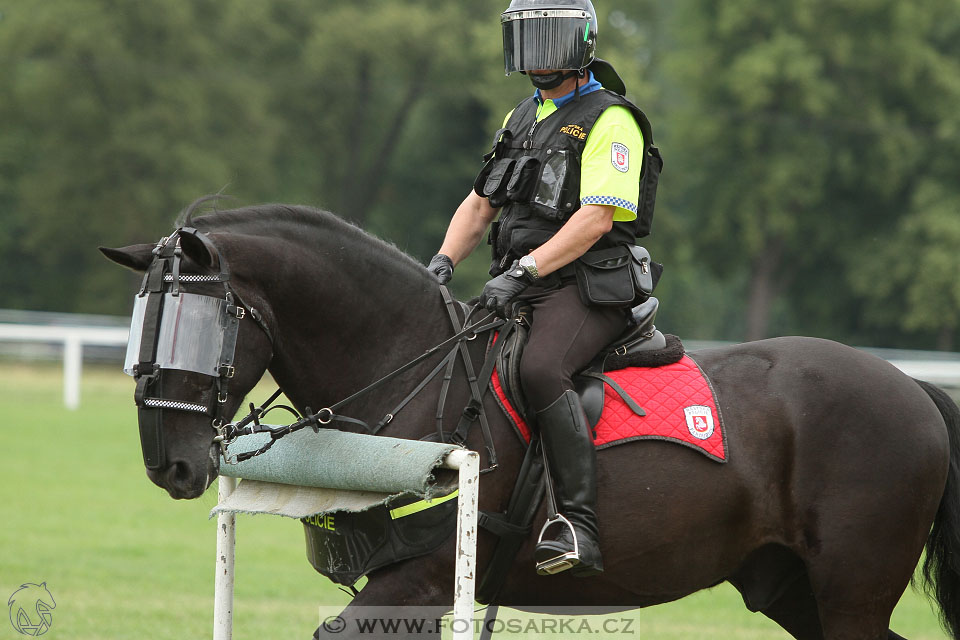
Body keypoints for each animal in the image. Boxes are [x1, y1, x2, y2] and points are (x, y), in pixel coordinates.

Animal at [99, 204, 960, 640]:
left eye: (196, 328)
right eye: (142, 325)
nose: (169, 464)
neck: (413, 367)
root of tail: (914, 390)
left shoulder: (420, 582)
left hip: (850, 594)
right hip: (790, 588)